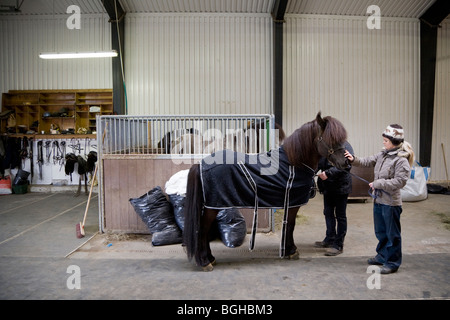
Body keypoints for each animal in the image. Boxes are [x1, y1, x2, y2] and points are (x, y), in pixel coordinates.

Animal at [183, 112, 348, 270]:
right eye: (329, 139)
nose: (347, 162)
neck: (294, 162)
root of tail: (201, 164)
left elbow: (288, 226)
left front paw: (287, 250)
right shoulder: (293, 204)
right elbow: (291, 225)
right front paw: (292, 251)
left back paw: (210, 258)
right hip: (213, 207)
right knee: (202, 230)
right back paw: (205, 262)